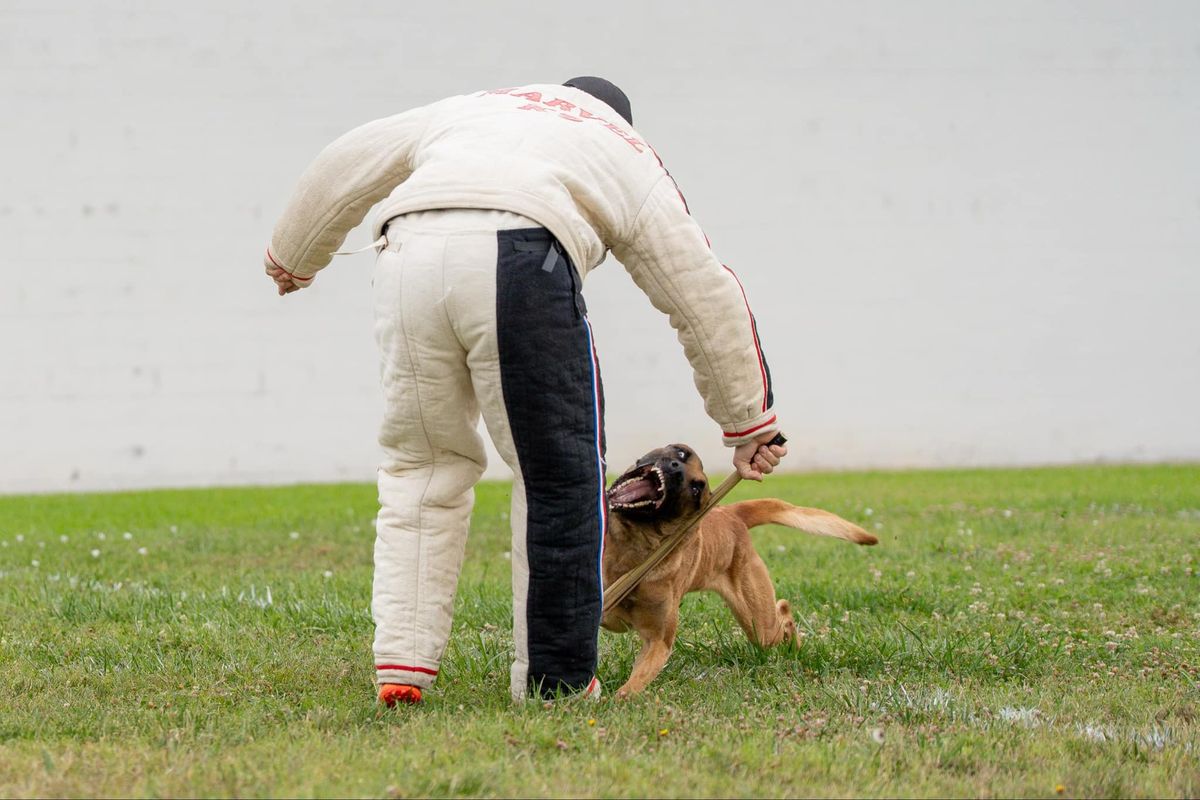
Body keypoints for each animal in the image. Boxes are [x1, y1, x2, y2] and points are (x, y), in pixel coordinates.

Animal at [604, 441, 878, 695]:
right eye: (681, 453)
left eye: (695, 488)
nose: (676, 467)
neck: (631, 547)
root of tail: (731, 513)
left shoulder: (658, 642)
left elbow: (631, 688)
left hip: (758, 622)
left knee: (783, 612)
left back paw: (794, 644)